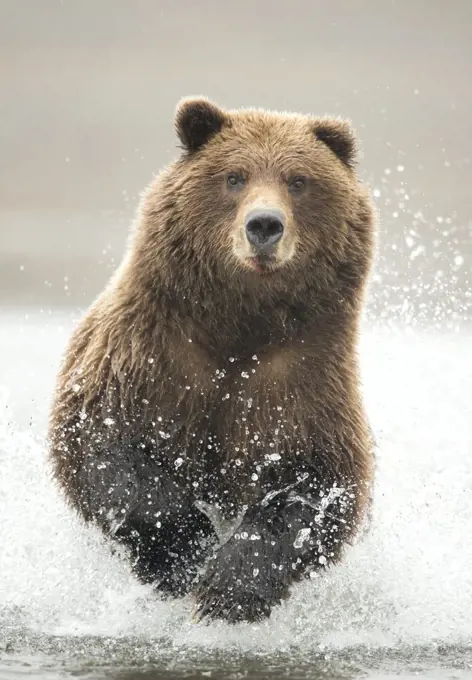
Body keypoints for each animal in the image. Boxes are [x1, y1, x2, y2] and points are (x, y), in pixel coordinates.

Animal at [48, 98, 376, 624]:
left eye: (298, 180)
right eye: (234, 176)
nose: (264, 225)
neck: (237, 323)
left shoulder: (301, 377)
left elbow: (313, 489)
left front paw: (230, 589)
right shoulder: (150, 357)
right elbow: (107, 447)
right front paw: (184, 552)